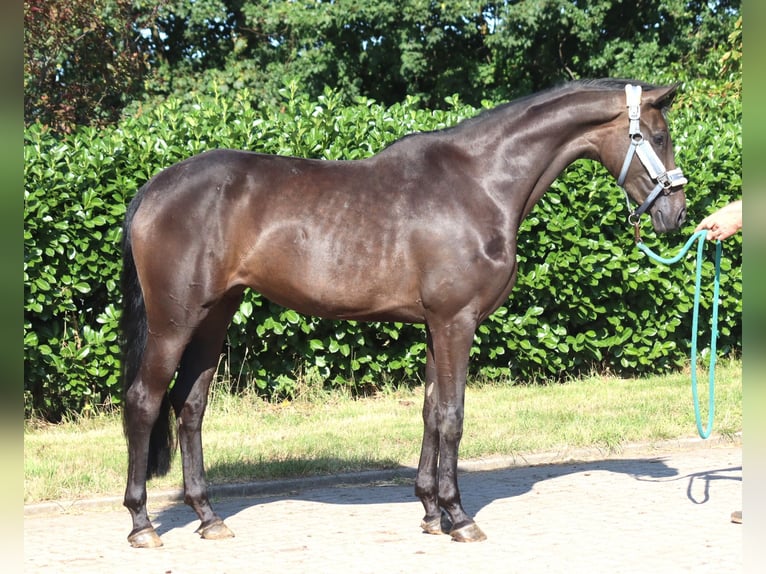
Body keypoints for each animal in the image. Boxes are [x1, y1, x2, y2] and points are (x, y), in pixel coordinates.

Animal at [120, 79, 687, 548]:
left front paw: (432, 512)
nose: (675, 214)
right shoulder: (457, 322)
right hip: (174, 323)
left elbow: (432, 412)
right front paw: (460, 518)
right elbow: (453, 415)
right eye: (659, 137)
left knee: (190, 407)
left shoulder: (437, 325)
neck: (480, 183)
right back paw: (143, 525)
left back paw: (209, 517)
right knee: (144, 402)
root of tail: (153, 188)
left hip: (214, 317)